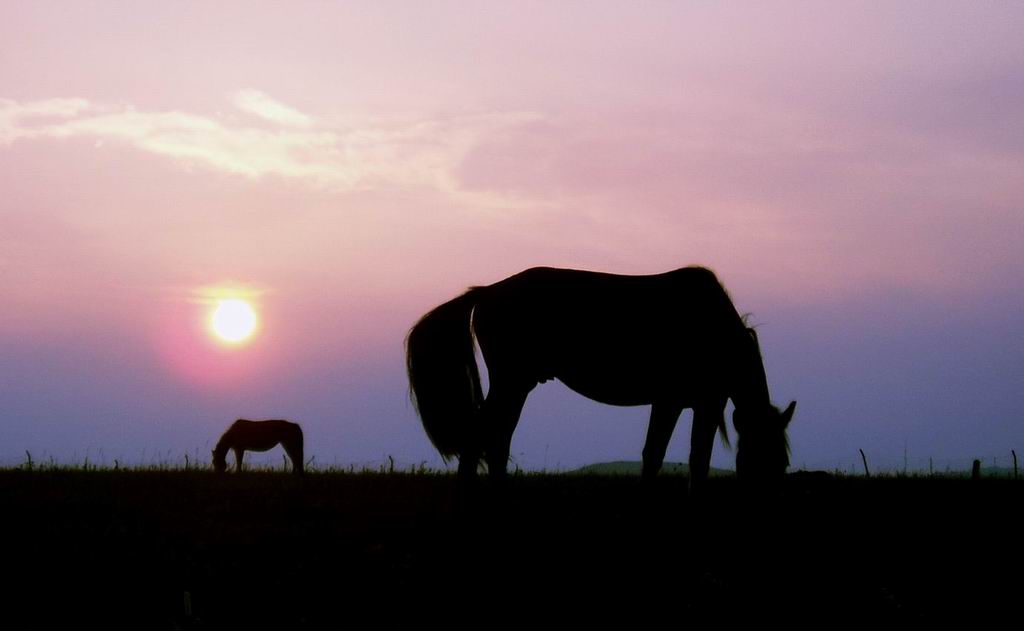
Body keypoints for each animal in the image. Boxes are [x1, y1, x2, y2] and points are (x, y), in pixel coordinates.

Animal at [403, 266, 794, 487]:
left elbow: (668, 456)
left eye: (784, 462)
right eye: (763, 458)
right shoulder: (683, 402)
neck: (715, 329)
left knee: (498, 437)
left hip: (516, 385)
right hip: (510, 382)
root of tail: (486, 292)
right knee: (484, 435)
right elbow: (677, 456)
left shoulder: (689, 404)